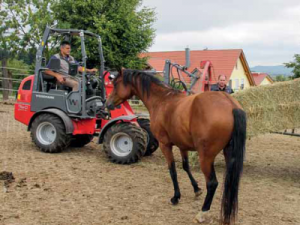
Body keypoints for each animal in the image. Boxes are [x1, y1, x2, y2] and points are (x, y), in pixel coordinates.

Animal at [105, 69, 246, 224]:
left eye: (115, 84)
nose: (107, 104)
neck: (162, 101)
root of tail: (230, 105)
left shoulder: (165, 145)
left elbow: (172, 170)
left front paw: (176, 197)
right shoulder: (182, 146)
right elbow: (185, 167)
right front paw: (196, 189)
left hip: (206, 158)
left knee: (212, 183)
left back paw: (202, 213)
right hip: (229, 154)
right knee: (231, 183)